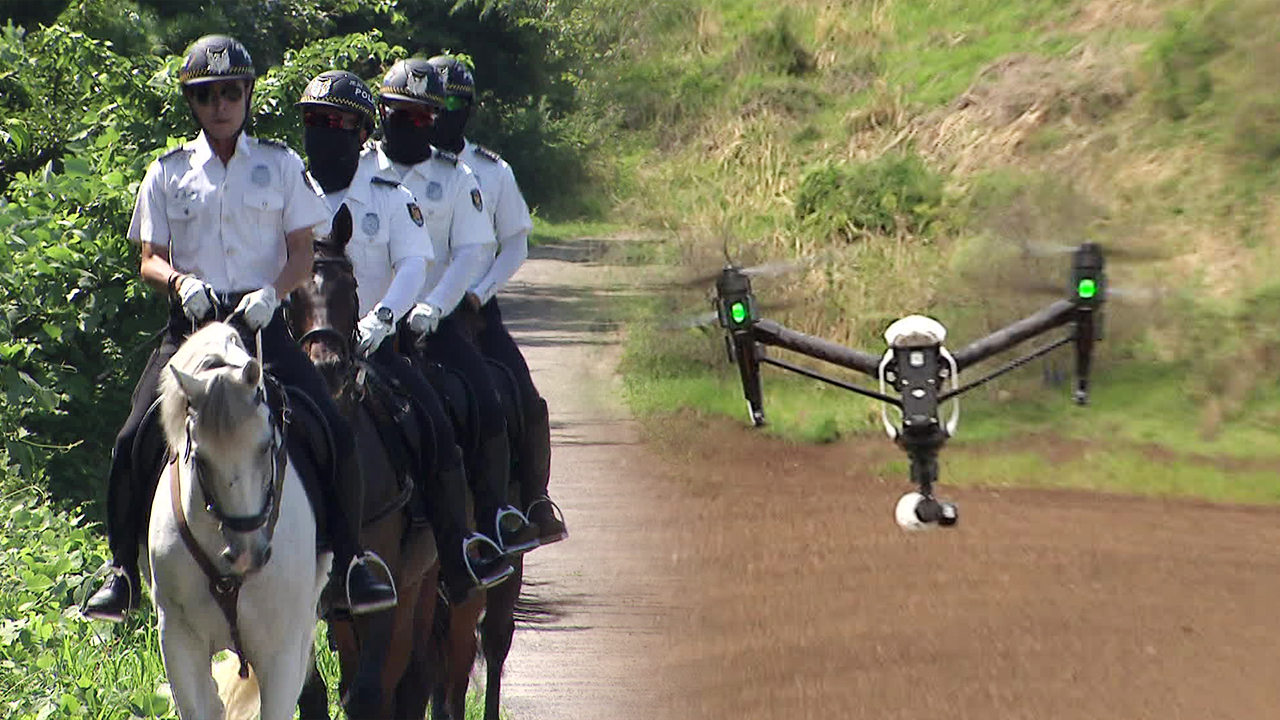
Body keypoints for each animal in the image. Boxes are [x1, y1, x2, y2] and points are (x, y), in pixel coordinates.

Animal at [290, 229, 440, 717]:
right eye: (291, 296)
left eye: (351, 289)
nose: (327, 366)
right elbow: (312, 696)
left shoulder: (384, 593)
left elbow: (370, 694)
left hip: (422, 586)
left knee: (413, 677)